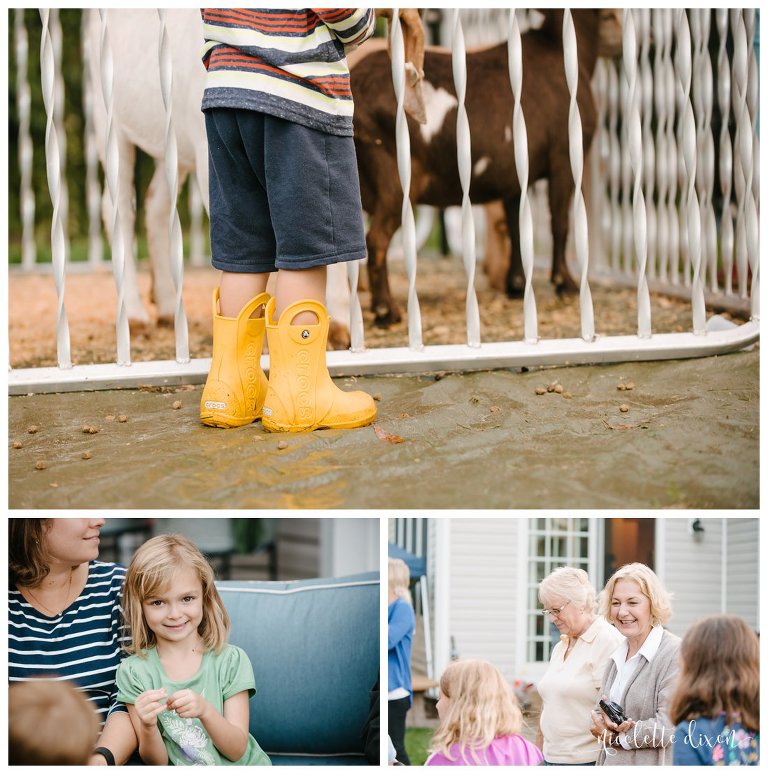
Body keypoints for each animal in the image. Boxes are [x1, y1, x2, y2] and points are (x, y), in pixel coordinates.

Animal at [352, 9, 620, 326]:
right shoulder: (564, 158)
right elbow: (560, 222)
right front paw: (564, 284)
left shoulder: (515, 175)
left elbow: (517, 225)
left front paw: (516, 285)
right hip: (395, 176)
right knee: (377, 239)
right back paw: (387, 312)